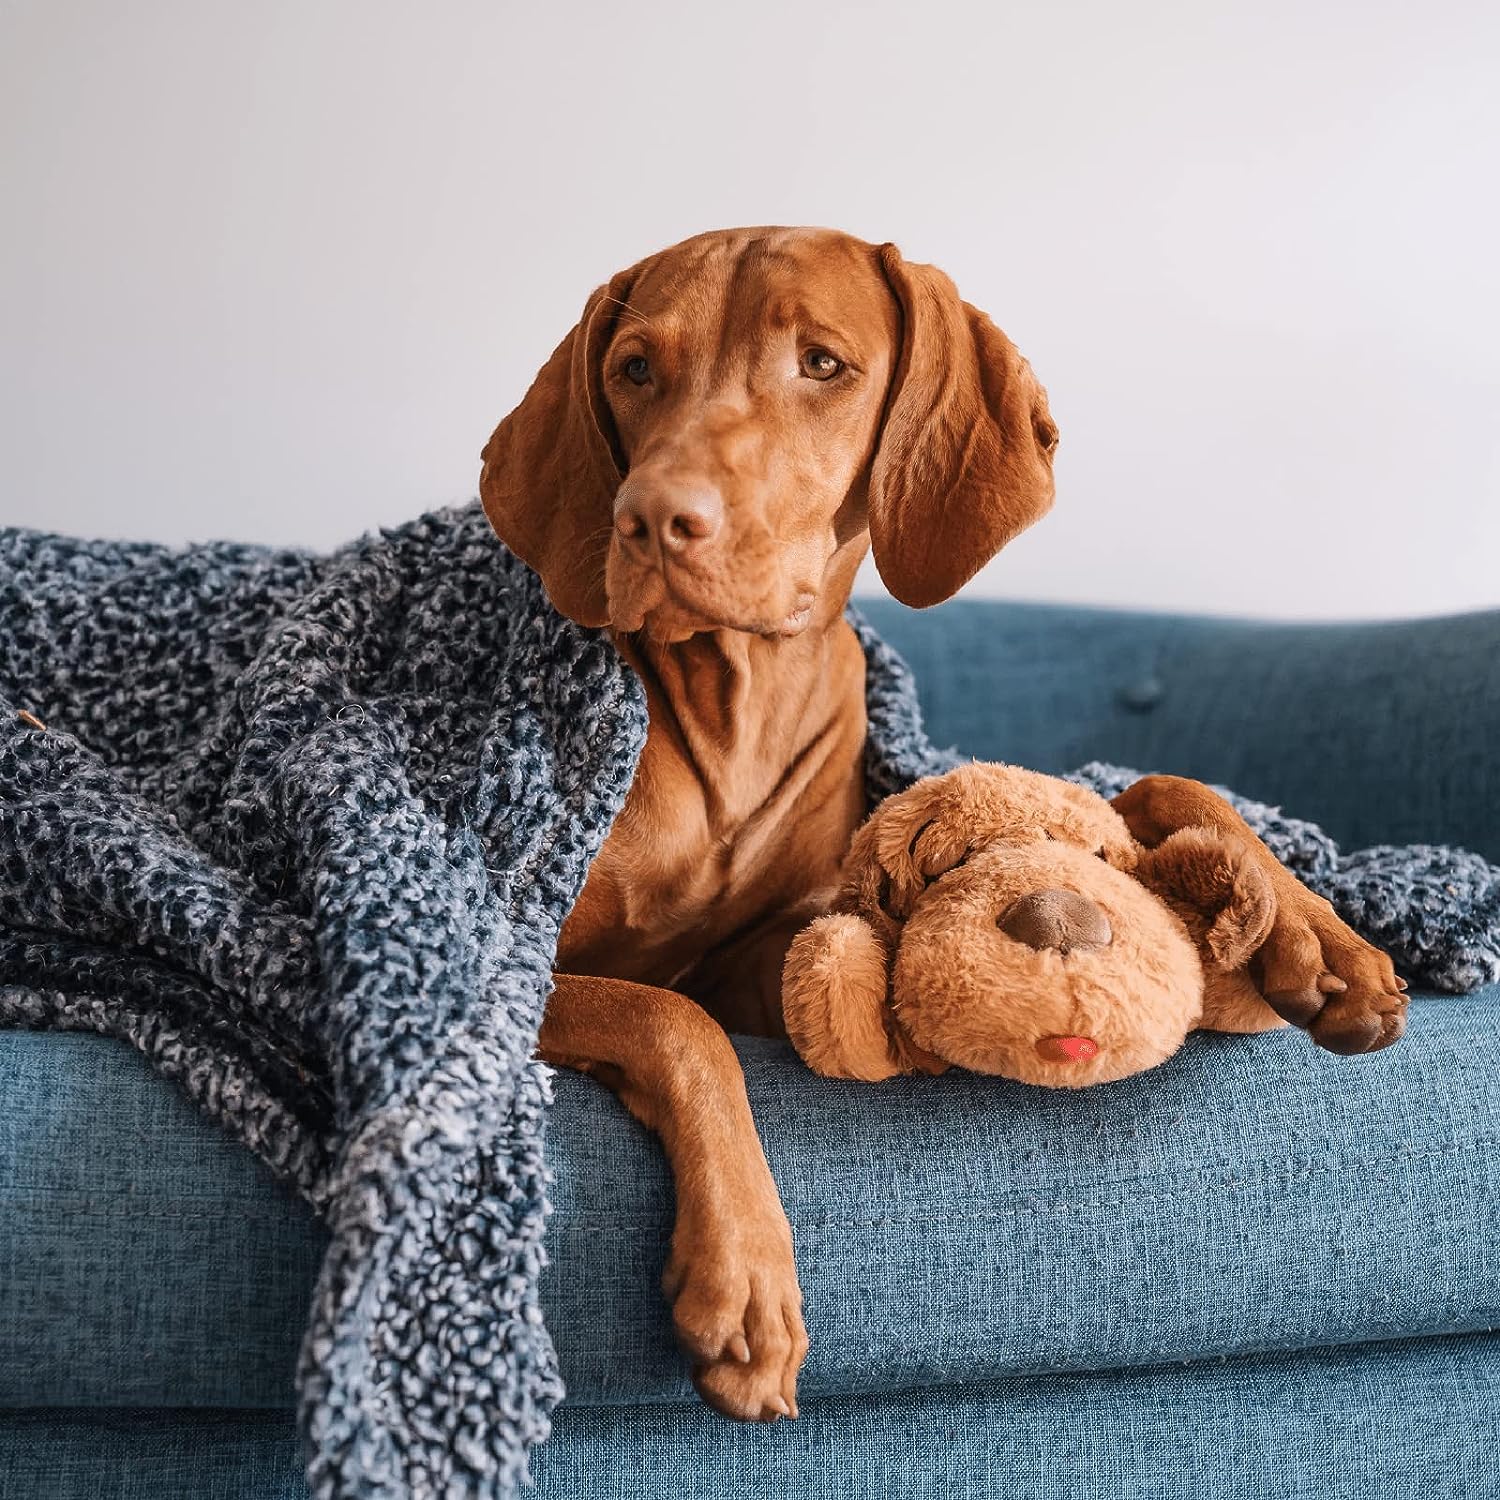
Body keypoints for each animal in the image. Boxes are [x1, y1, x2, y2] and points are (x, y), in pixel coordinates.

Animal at [480, 228, 1404, 1422]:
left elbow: (1149, 793)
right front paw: (745, 1274)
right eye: (634, 369)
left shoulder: (765, 959)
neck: (730, 709)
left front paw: (1312, 934)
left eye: (823, 364)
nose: (649, 519)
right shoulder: (492, 964)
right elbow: (666, 1019)